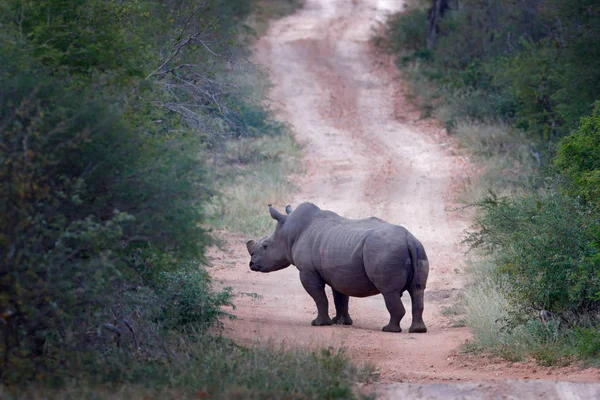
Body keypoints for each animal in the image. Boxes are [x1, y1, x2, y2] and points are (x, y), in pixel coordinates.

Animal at [246, 203, 428, 332]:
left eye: (265, 246)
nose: (251, 264)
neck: (289, 234)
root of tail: (408, 239)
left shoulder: (307, 272)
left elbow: (319, 297)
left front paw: (319, 324)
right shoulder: (338, 272)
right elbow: (340, 297)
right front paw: (341, 322)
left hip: (384, 251)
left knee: (389, 292)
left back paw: (389, 329)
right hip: (419, 249)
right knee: (417, 290)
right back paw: (417, 331)